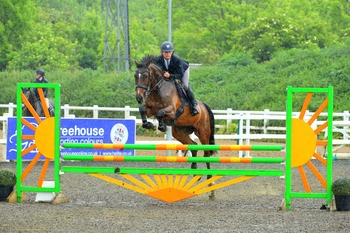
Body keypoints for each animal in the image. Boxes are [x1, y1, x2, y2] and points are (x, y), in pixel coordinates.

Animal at [134, 54, 216, 198]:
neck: (158, 89)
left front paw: (161, 126)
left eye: (145, 75)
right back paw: (195, 172)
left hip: (203, 132)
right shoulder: (150, 109)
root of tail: (204, 107)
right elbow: (142, 109)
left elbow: (160, 112)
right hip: (179, 132)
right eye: (135, 76)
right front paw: (148, 124)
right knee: (193, 146)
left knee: (206, 154)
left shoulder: (171, 110)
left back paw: (211, 187)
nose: (139, 97)